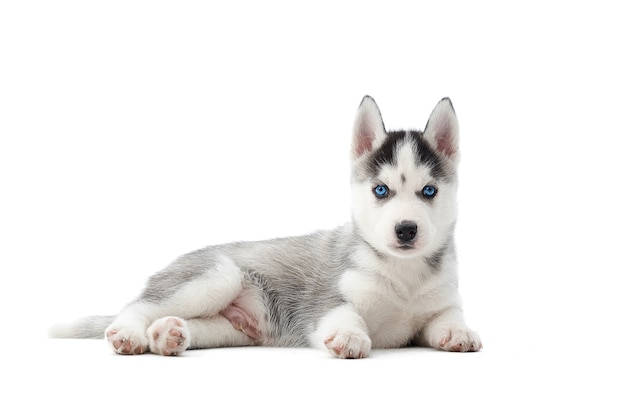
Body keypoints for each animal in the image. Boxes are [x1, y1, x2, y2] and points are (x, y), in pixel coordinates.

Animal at [51, 96, 480, 358]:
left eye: (429, 190)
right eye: (381, 190)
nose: (406, 229)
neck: (403, 276)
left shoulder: (441, 303)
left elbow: (448, 317)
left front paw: (459, 333)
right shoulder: (324, 301)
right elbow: (344, 315)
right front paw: (349, 336)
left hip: (230, 329)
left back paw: (167, 336)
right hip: (216, 277)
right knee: (136, 306)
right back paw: (129, 334)